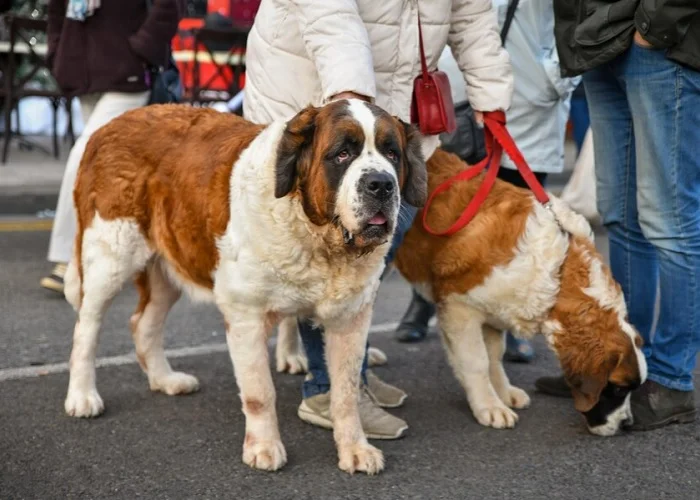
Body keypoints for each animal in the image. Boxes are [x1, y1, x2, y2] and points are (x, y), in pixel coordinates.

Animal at [63, 99, 430, 474]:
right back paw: (82, 396)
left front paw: (355, 448)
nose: (381, 184)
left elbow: (346, 391)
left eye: (392, 154)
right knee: (86, 328)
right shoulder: (246, 315)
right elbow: (259, 392)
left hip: (168, 266)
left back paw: (165, 380)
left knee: (143, 323)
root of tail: (108, 127)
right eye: (342, 154)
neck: (314, 234)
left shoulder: (350, 319)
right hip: (109, 256)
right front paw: (264, 448)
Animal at [396, 149, 648, 438]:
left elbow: (494, 356)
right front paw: (488, 405)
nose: (627, 424)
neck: (558, 274)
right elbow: (477, 361)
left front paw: (503, 393)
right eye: (617, 388)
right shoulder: (458, 306)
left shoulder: (494, 310)